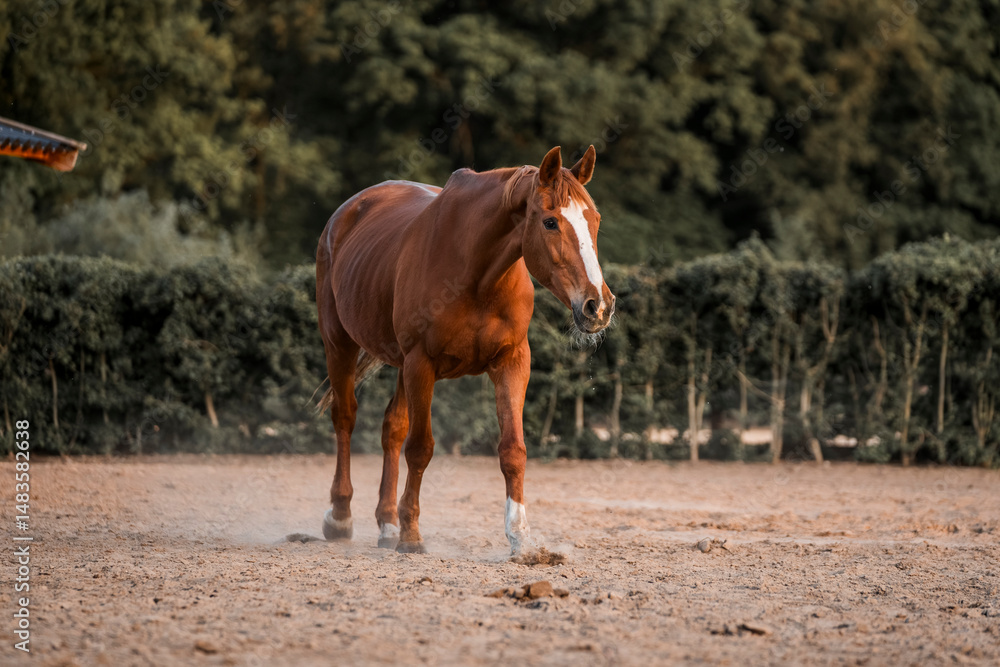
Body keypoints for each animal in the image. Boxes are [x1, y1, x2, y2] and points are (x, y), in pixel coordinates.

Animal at [315, 145, 615, 556]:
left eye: (595, 219)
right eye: (551, 222)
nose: (598, 306)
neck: (477, 275)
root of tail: (344, 214)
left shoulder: (512, 362)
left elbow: (513, 450)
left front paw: (520, 539)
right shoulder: (421, 363)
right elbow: (421, 448)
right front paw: (412, 534)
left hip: (400, 365)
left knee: (392, 428)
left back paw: (387, 524)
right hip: (340, 343)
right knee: (345, 418)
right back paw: (341, 517)